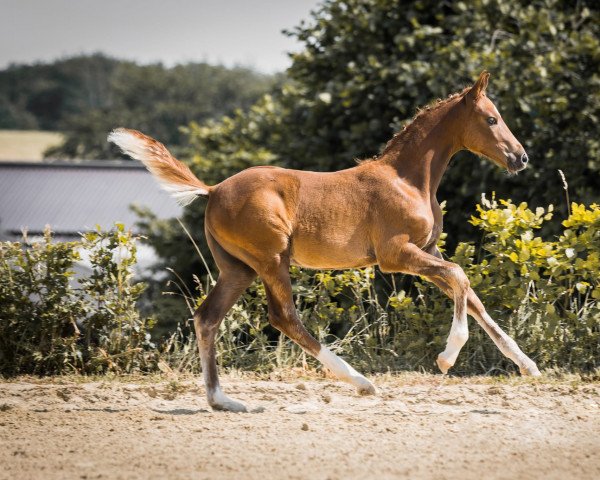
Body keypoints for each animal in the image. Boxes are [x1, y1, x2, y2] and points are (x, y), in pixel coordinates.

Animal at [110, 71, 540, 412]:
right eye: (491, 118)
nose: (521, 157)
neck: (407, 179)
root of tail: (213, 190)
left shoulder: (426, 250)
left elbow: (471, 294)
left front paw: (527, 365)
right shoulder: (396, 255)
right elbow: (460, 276)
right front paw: (447, 357)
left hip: (238, 268)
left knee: (207, 318)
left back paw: (224, 401)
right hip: (271, 260)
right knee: (283, 317)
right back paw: (361, 382)